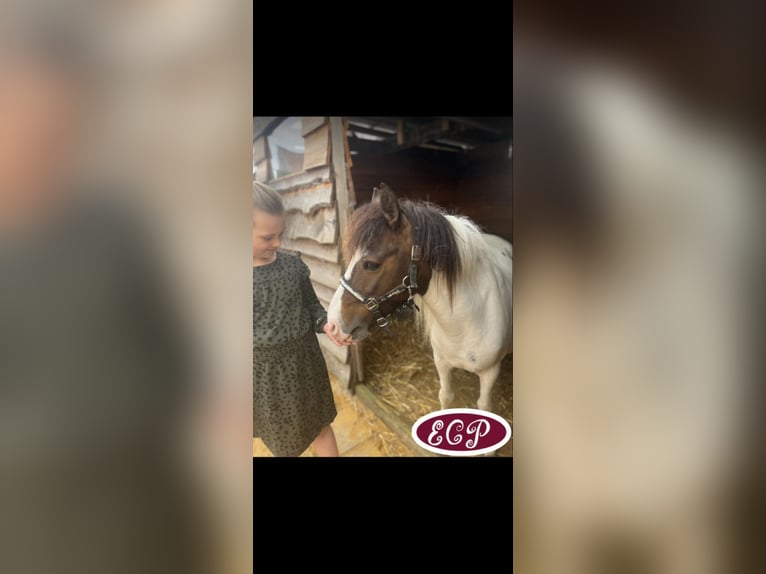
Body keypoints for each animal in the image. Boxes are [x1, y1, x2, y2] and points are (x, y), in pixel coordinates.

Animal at [326, 183, 512, 413]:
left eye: (371, 264)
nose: (332, 325)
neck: (467, 322)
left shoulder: (490, 372)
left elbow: (484, 406)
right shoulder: (442, 362)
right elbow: (446, 396)